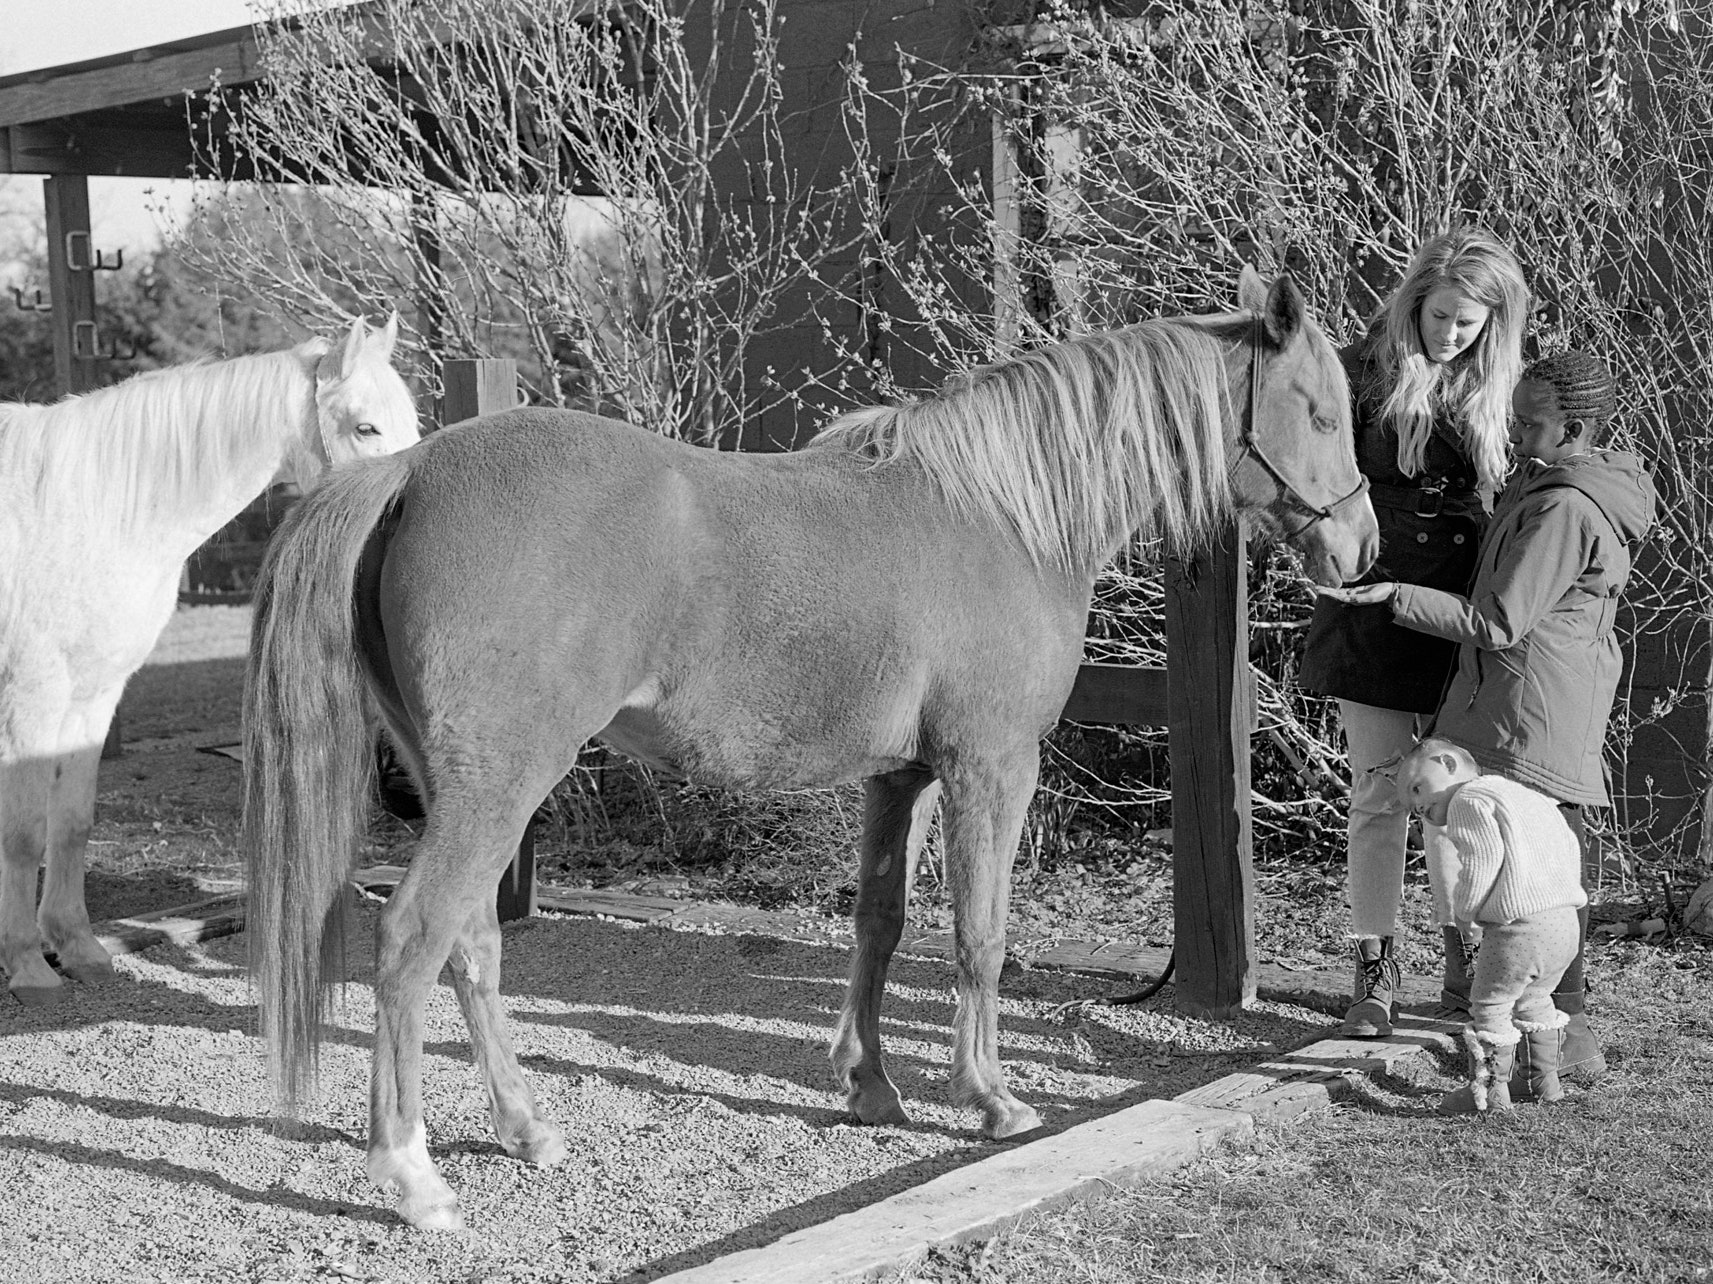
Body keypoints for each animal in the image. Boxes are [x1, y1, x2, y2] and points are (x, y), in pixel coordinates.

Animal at [0, 311, 419, 1006]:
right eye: (365, 427)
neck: (93, 508)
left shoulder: (93, 694)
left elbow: (72, 821)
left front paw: (79, 949)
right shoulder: (35, 695)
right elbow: (25, 829)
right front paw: (30, 967)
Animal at [244, 268, 1377, 1225]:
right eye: (1319, 412)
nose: (1361, 548)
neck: (1002, 514)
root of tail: (409, 470)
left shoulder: (902, 780)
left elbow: (880, 925)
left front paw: (870, 1086)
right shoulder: (990, 768)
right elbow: (979, 938)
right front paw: (992, 1098)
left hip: (468, 789)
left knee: (472, 946)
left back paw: (525, 1130)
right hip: (497, 789)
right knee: (411, 943)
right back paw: (411, 1176)